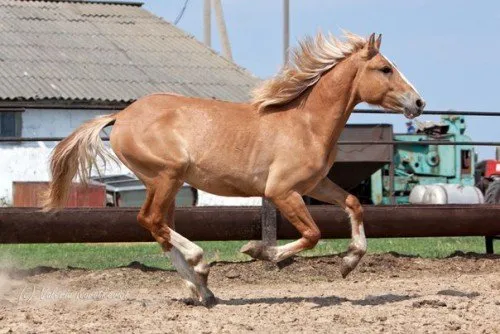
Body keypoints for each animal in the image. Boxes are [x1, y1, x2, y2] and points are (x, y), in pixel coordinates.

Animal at [44, 32, 426, 306]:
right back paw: (200, 265)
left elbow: (353, 204)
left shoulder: (315, 186)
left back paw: (201, 290)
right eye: (385, 69)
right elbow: (312, 234)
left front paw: (349, 263)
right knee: (151, 220)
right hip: (166, 176)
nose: (419, 102)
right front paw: (258, 251)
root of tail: (121, 116)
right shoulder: (281, 192)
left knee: (159, 228)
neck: (306, 123)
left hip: (167, 183)